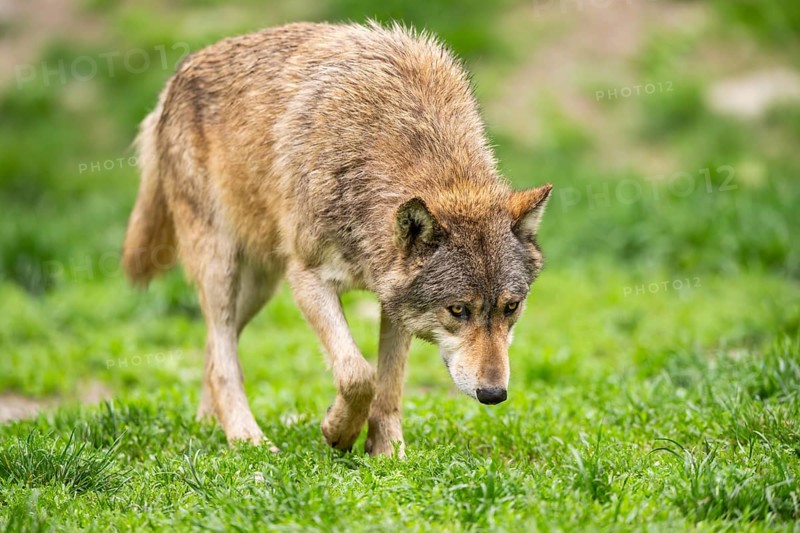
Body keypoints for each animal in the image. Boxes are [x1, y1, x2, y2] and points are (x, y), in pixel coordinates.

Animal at [122, 21, 552, 457]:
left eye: (511, 307)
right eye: (458, 310)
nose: (494, 394)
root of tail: (174, 79)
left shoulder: (394, 301)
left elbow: (389, 385)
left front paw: (388, 452)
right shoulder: (307, 278)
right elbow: (358, 374)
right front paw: (338, 431)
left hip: (259, 286)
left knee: (212, 349)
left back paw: (211, 424)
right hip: (222, 268)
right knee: (223, 355)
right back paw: (246, 437)